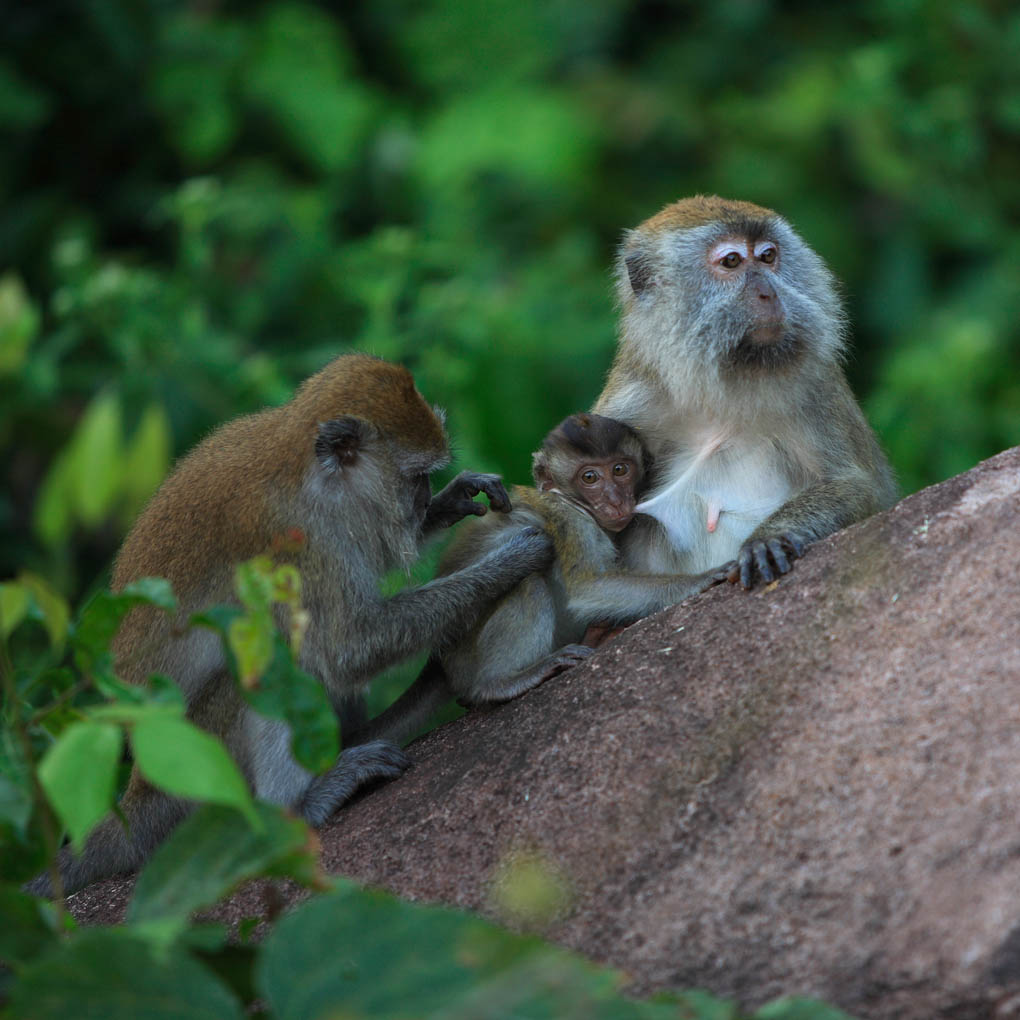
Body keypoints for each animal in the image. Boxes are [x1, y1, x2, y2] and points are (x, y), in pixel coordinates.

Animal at [29, 352, 550, 893]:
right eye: (413, 478)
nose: (422, 501)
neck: (307, 475)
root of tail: (139, 797)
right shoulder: (297, 541)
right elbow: (349, 649)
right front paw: (510, 563)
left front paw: (454, 501)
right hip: (200, 764)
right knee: (278, 659)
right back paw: (301, 805)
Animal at [354, 410, 730, 746]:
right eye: (589, 478)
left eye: (620, 470)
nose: (615, 499)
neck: (575, 503)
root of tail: (440, 661)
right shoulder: (570, 522)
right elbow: (587, 587)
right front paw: (702, 578)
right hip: (467, 660)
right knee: (528, 584)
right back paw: (500, 683)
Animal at [595, 193, 897, 587]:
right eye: (732, 261)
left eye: (768, 256)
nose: (769, 292)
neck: (716, 387)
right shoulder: (630, 403)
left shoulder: (814, 385)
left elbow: (856, 486)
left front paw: (768, 538)